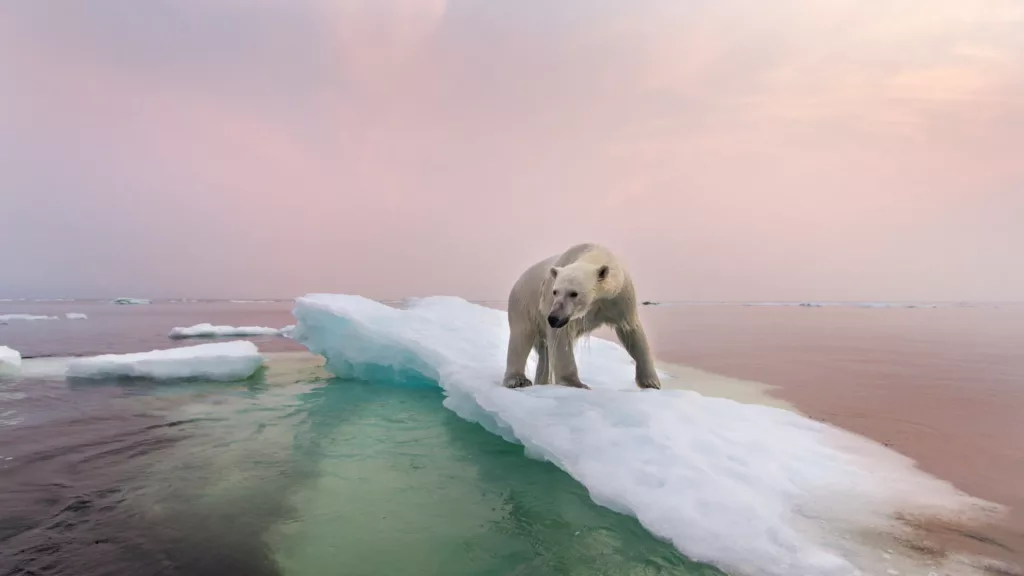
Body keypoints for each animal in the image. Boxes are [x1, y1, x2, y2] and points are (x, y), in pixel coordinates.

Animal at [499, 241, 659, 389]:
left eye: (573, 293)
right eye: (555, 291)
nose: (553, 318)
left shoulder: (619, 298)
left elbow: (631, 331)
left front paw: (651, 382)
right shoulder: (553, 304)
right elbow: (561, 339)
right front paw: (575, 383)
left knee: (544, 352)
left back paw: (542, 381)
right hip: (523, 304)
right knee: (521, 337)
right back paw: (518, 380)